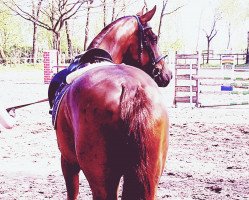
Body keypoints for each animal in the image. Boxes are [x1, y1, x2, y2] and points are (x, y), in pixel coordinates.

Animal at [54, 5, 171, 199]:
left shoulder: (67, 160)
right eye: (154, 38)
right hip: (151, 177)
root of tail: (131, 87)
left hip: (101, 180)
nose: (166, 74)